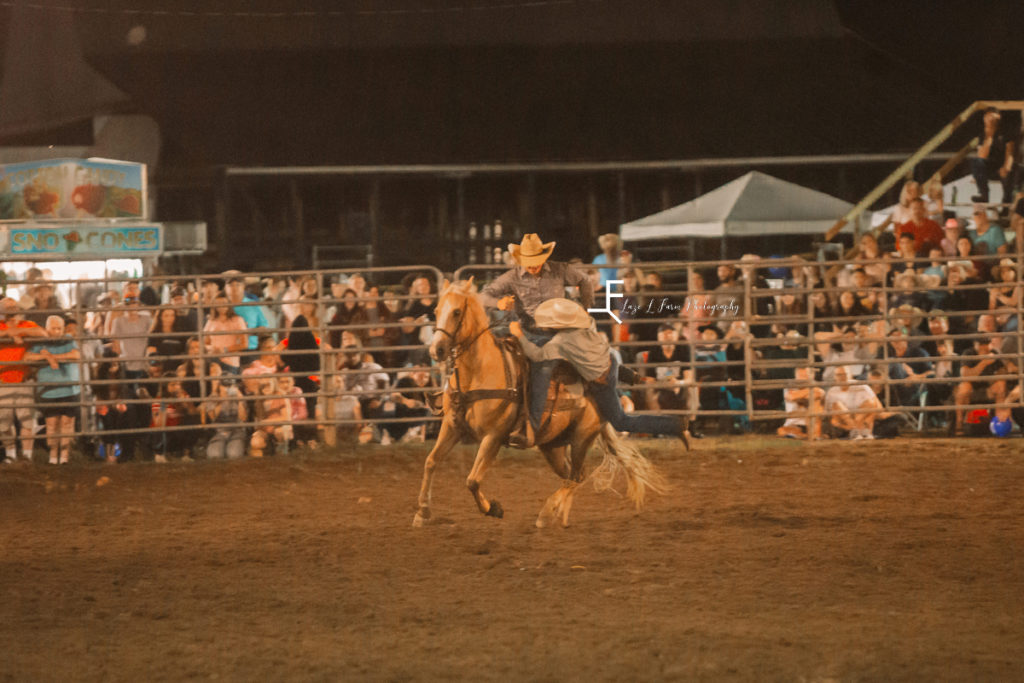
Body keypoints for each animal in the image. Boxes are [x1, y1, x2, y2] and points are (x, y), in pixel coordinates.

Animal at [411, 278, 667, 528]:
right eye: (436, 310)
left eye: (456, 312)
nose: (437, 350)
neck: (478, 373)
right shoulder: (451, 426)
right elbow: (430, 462)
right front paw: (422, 512)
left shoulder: (493, 436)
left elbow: (472, 481)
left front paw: (493, 508)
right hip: (552, 446)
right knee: (572, 475)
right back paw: (560, 515)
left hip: (581, 437)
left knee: (576, 476)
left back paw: (546, 514)